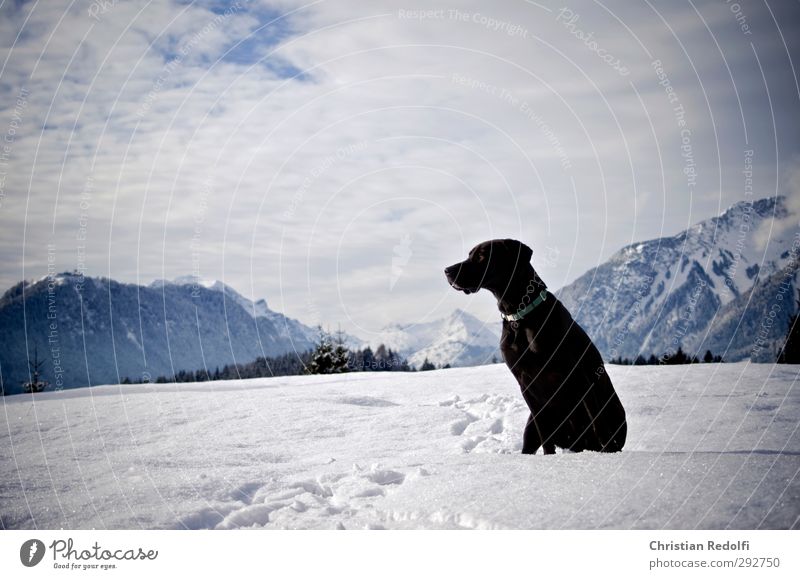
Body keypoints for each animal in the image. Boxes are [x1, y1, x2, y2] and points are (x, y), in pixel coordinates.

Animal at [444, 238, 624, 456]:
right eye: (470, 254)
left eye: (482, 255)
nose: (447, 270)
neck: (520, 315)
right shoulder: (526, 383)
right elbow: (544, 430)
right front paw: (548, 458)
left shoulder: (579, 375)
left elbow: (597, 422)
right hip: (530, 426)